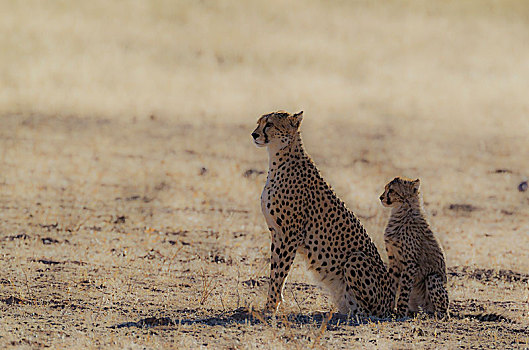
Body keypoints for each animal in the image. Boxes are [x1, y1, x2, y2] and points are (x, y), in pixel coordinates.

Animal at [251, 110, 392, 316]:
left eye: (269, 124)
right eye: (259, 122)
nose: (254, 134)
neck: (279, 159)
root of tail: (392, 303)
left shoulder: (290, 235)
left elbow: (279, 273)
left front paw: (270, 308)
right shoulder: (276, 233)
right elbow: (275, 271)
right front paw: (274, 304)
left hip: (355, 258)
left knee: (370, 311)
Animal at [378, 176, 448, 316]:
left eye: (391, 190)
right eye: (386, 188)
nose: (381, 197)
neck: (402, 211)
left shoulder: (410, 263)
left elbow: (404, 290)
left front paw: (400, 312)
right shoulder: (394, 260)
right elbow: (392, 284)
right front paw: (390, 309)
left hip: (433, 278)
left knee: (443, 311)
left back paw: (436, 315)